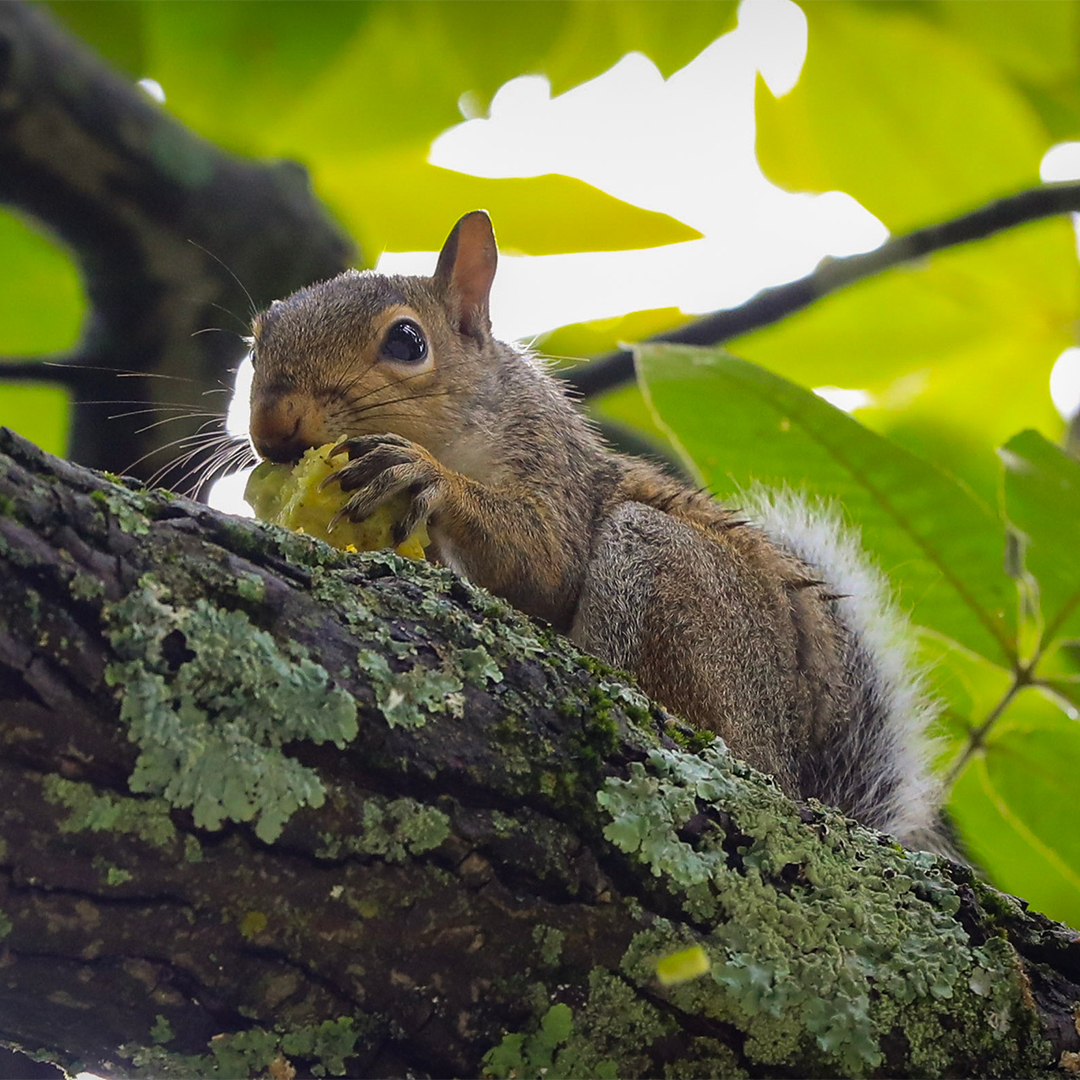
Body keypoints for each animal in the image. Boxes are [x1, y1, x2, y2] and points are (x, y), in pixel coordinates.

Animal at [247, 210, 945, 853]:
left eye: (407, 342)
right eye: (255, 347)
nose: (274, 424)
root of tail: (786, 765)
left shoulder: (551, 464)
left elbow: (547, 562)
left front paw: (425, 474)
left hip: (670, 576)